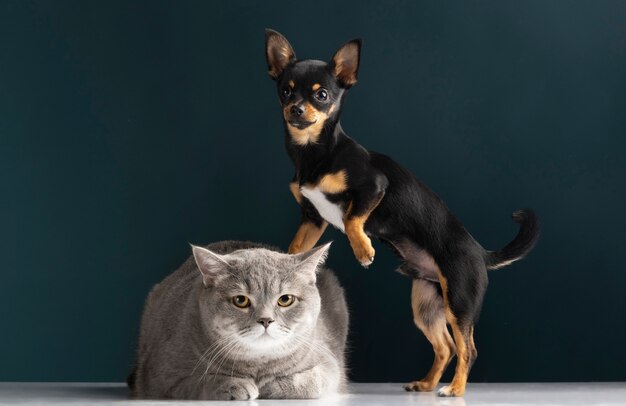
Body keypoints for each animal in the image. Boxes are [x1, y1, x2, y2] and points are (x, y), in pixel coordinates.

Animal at [126, 241, 346, 400]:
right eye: (241, 300)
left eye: (285, 299)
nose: (266, 320)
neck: (257, 364)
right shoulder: (160, 378)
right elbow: (198, 381)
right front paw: (232, 384)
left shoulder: (329, 365)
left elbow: (312, 381)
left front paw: (272, 385)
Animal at [264, 29, 536, 396]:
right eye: (285, 91)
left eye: (321, 95)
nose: (296, 108)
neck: (315, 153)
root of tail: (479, 252)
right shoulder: (313, 218)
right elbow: (298, 246)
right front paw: (290, 263)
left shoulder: (374, 188)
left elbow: (351, 218)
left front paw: (363, 250)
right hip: (426, 306)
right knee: (446, 347)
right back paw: (427, 383)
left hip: (459, 301)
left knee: (467, 348)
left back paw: (455, 390)